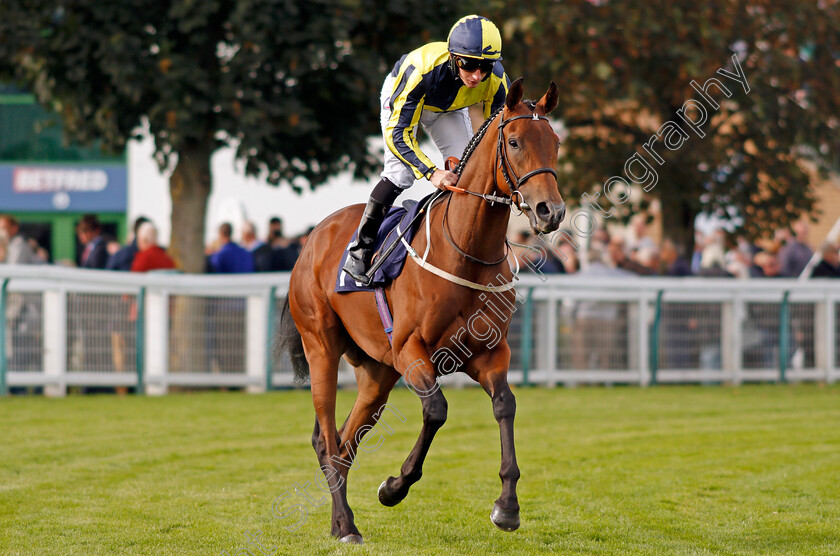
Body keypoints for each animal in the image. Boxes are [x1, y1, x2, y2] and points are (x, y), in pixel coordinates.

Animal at [280, 78, 564, 544]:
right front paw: (393, 487)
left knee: (344, 442)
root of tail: (313, 238)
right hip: (321, 346)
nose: (551, 211)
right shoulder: (411, 351)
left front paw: (507, 506)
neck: (466, 251)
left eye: (555, 142)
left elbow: (505, 405)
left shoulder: (490, 353)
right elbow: (437, 411)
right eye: (515, 141)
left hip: (376, 371)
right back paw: (345, 526)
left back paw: (343, 522)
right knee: (326, 438)